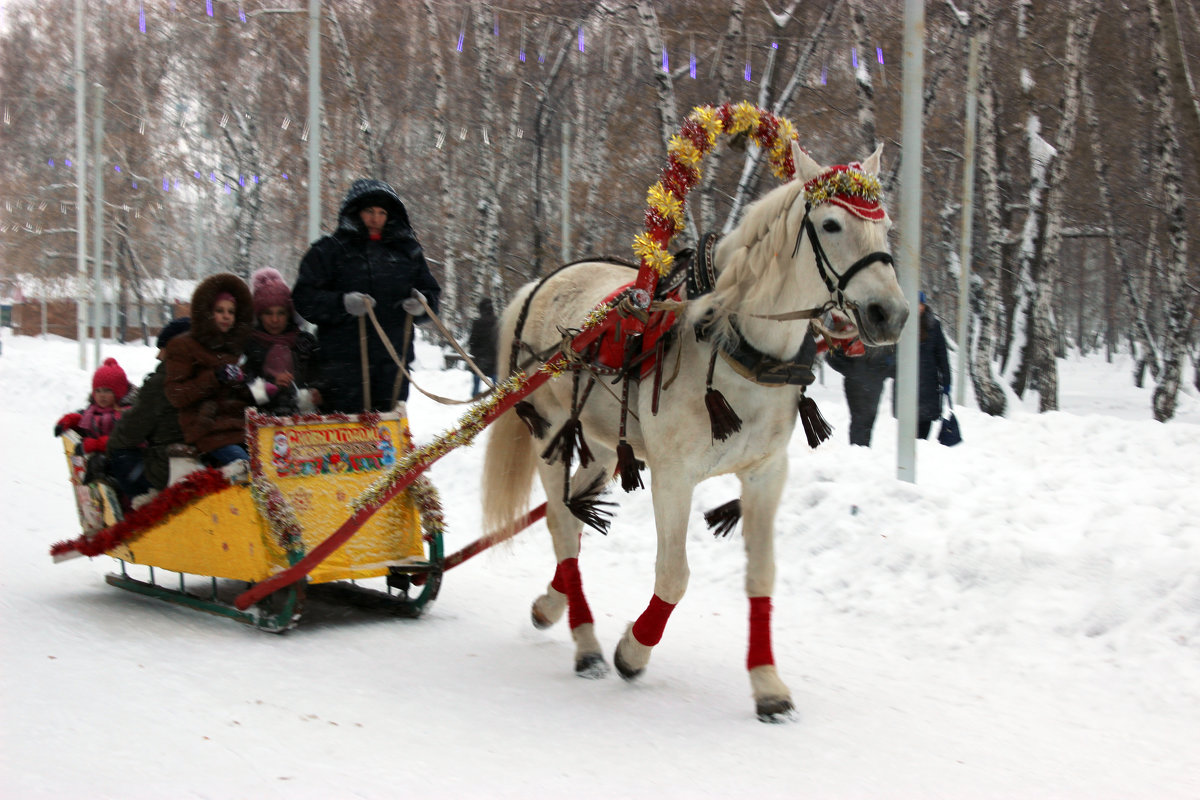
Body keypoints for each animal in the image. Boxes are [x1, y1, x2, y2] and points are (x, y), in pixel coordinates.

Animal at [482, 140, 902, 724]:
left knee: (570, 516)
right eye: (832, 224)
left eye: (884, 226)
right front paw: (634, 649)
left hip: (602, 449)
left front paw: (767, 683)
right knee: (564, 530)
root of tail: (538, 287)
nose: (891, 314)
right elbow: (674, 575)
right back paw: (586, 643)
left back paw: (552, 604)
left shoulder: (767, 474)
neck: (733, 339)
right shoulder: (673, 477)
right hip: (550, 436)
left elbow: (761, 575)